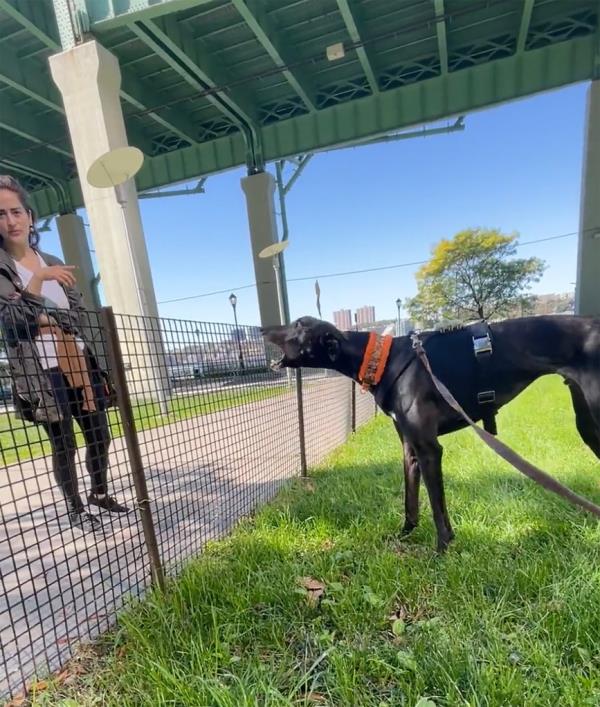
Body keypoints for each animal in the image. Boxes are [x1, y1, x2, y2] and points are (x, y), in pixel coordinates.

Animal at [264, 316, 600, 552]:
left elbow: (437, 508)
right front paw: (404, 535)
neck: (383, 359)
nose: (263, 329)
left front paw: (441, 550)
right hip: (586, 423)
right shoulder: (410, 449)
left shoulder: (429, 449)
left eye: (298, 323)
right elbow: (411, 502)